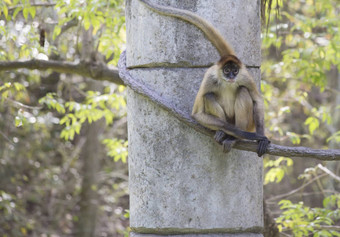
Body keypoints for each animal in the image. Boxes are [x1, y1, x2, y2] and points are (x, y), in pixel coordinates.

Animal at [139, 0, 270, 156]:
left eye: (234, 70)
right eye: (226, 70)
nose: (232, 76)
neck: (227, 82)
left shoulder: (244, 76)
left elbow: (257, 100)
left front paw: (259, 137)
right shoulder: (210, 78)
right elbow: (197, 114)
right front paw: (245, 134)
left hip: (249, 122)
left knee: (243, 90)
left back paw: (233, 138)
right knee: (208, 96)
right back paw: (225, 134)